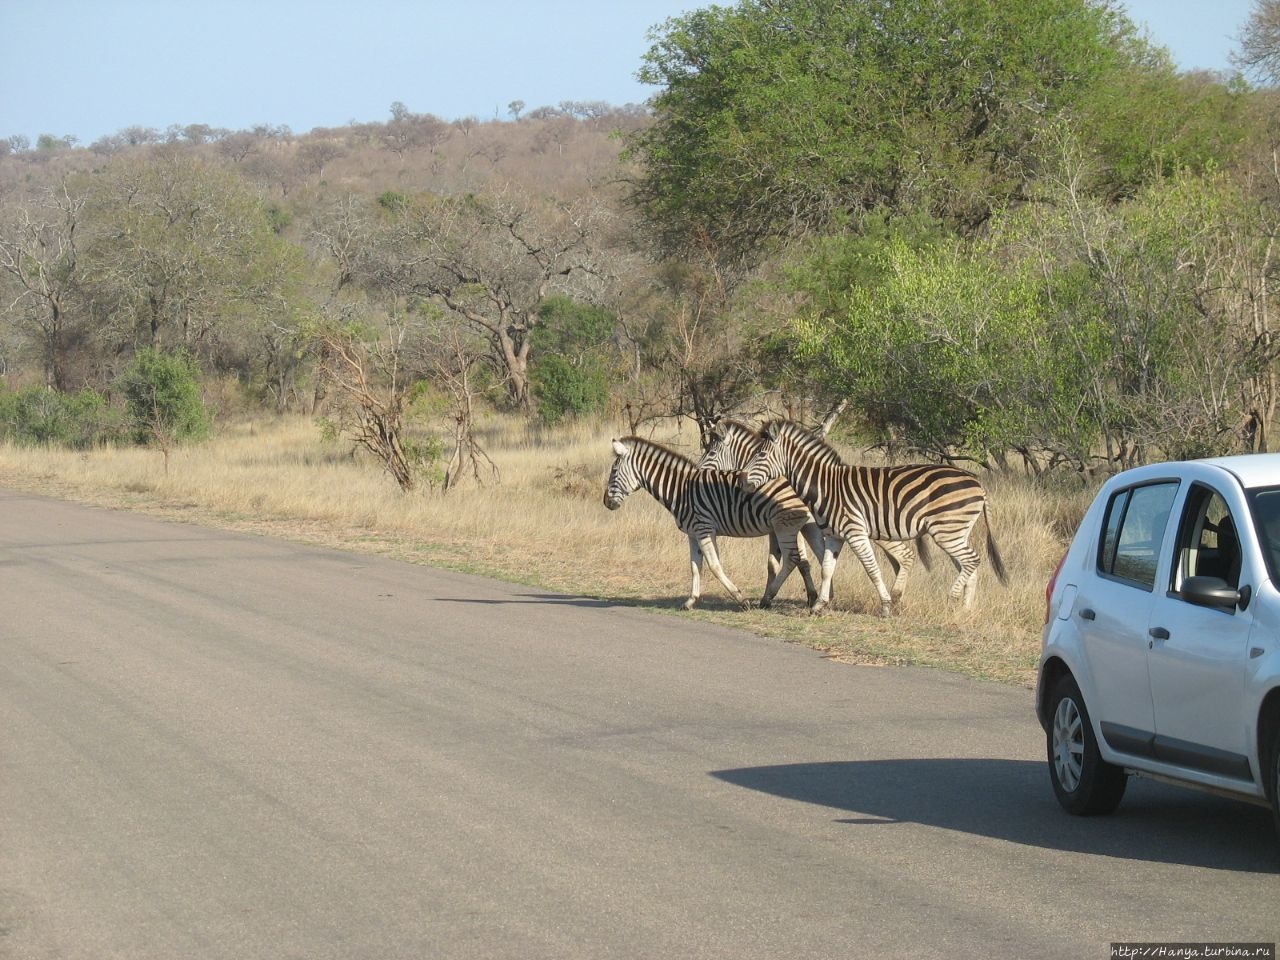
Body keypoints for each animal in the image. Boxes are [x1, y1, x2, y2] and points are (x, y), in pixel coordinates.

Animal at [604, 435, 824, 609]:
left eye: (614, 471)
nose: (606, 503)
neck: (681, 490)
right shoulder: (693, 534)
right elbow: (695, 566)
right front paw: (690, 601)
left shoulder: (704, 529)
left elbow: (714, 565)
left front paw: (740, 599)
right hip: (807, 525)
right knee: (817, 557)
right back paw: (816, 598)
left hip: (784, 526)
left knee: (792, 559)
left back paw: (768, 598)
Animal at [701, 422, 931, 616]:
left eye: (711, 452)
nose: (699, 472)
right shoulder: (791, 527)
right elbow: (782, 562)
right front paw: (819, 596)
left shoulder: (795, 525)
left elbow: (800, 561)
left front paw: (808, 597)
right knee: (898, 559)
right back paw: (896, 599)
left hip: (877, 530)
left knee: (905, 555)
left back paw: (895, 597)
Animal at [737, 424, 1003, 619]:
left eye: (761, 454)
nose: (741, 481)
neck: (826, 486)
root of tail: (977, 483)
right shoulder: (835, 535)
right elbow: (827, 568)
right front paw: (819, 606)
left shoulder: (855, 531)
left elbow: (871, 568)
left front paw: (885, 607)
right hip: (957, 532)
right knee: (969, 565)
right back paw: (965, 611)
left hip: (946, 531)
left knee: (972, 560)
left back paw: (952, 600)